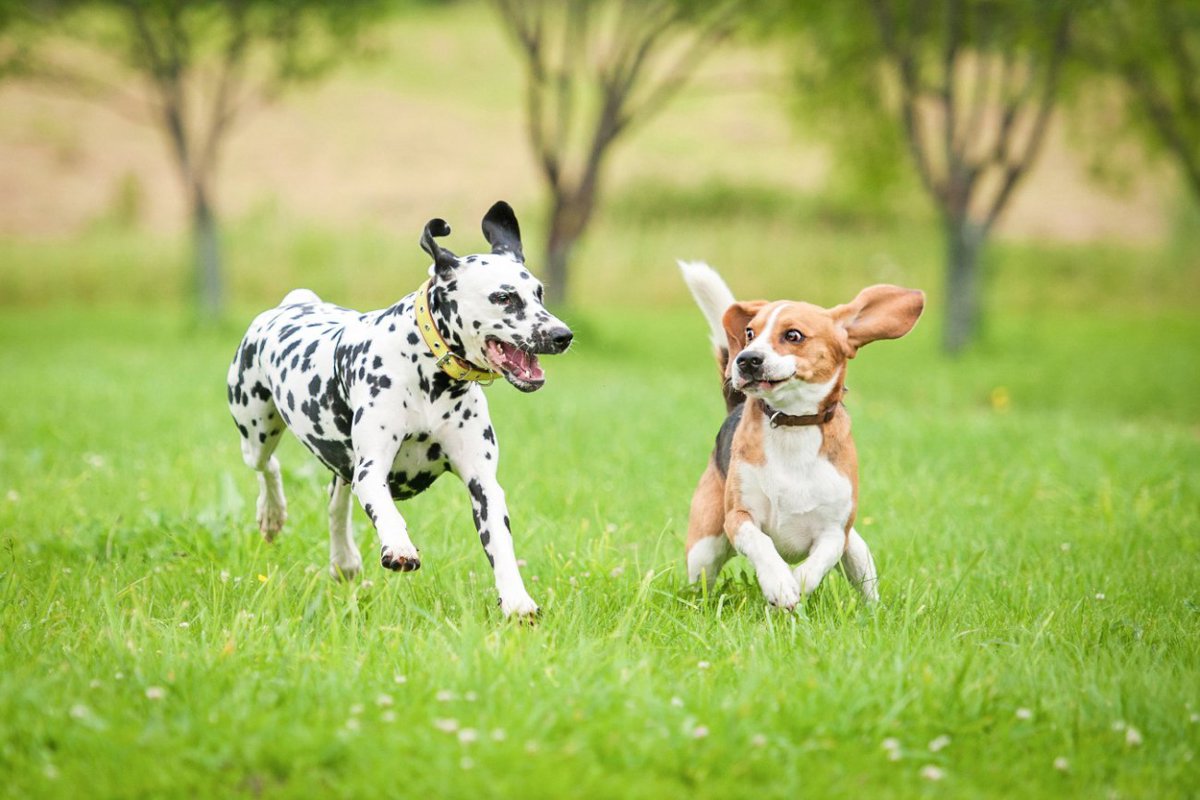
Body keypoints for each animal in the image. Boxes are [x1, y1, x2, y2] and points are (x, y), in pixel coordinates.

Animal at [230, 203, 576, 618]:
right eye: (505, 297)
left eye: (539, 293)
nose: (562, 335)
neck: (430, 377)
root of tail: (294, 304)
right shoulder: (372, 468)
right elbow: (386, 510)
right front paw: (399, 546)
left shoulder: (483, 484)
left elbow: (502, 547)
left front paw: (517, 600)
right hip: (256, 433)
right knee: (269, 467)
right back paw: (272, 514)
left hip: (337, 460)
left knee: (336, 497)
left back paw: (343, 558)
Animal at [681, 262, 921, 606]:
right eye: (750, 333)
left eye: (793, 335)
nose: (745, 359)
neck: (793, 423)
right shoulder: (739, 517)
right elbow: (761, 543)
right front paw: (779, 582)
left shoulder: (835, 531)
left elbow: (819, 561)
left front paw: (796, 583)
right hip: (704, 547)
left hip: (857, 550)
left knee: (865, 581)